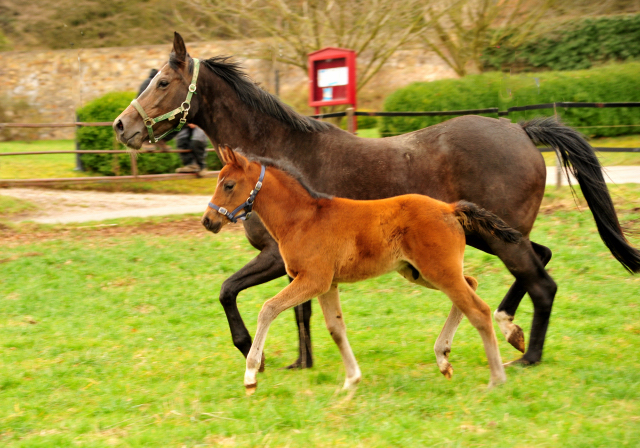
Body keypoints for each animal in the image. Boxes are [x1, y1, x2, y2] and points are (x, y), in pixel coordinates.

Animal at [202, 147, 524, 392]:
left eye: (228, 185)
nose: (208, 220)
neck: (302, 218)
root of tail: (449, 209)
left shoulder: (313, 280)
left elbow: (268, 309)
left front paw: (251, 374)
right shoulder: (327, 284)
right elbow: (336, 328)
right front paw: (351, 380)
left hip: (438, 271)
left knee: (478, 310)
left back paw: (496, 378)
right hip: (420, 272)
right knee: (470, 282)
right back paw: (443, 357)